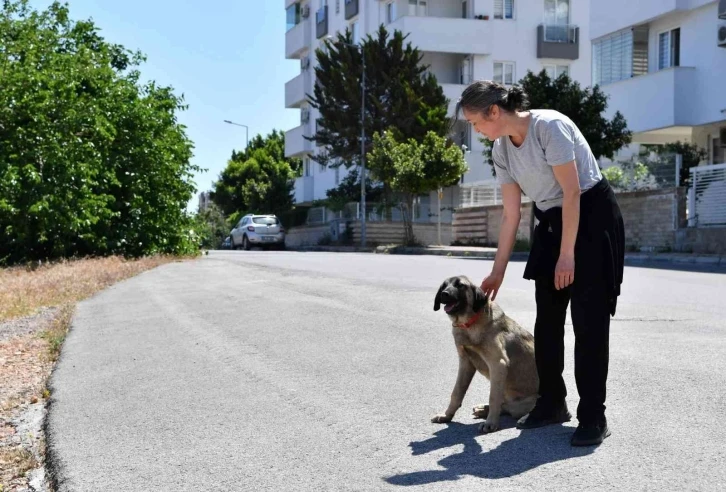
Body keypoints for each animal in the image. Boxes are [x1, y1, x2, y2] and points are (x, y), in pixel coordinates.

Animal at [432, 274, 540, 432]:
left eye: (460, 285)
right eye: (444, 286)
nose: (444, 294)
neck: (469, 324)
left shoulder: (498, 364)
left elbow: (493, 397)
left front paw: (491, 423)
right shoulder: (465, 363)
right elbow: (456, 392)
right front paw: (447, 415)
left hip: (521, 405)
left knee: (507, 407)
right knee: (505, 405)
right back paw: (483, 409)